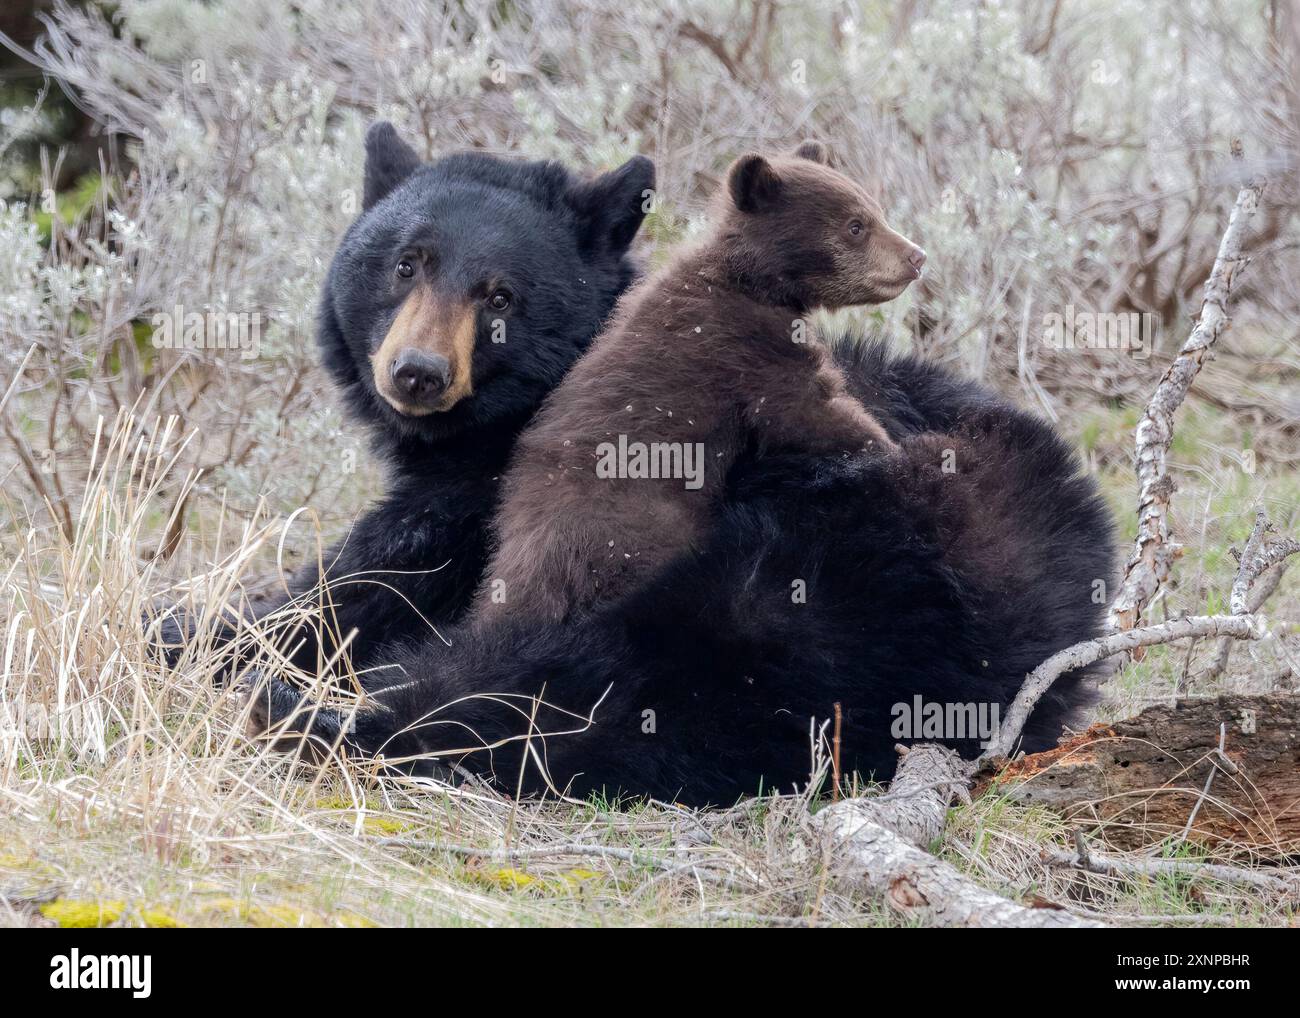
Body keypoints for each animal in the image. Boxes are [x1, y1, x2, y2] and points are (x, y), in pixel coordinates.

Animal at [245, 125, 1118, 806]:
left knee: (610, 688)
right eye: (406, 262)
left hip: (832, 585)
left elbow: (360, 581)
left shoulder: (476, 498)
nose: (417, 373)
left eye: (501, 295)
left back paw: (346, 713)